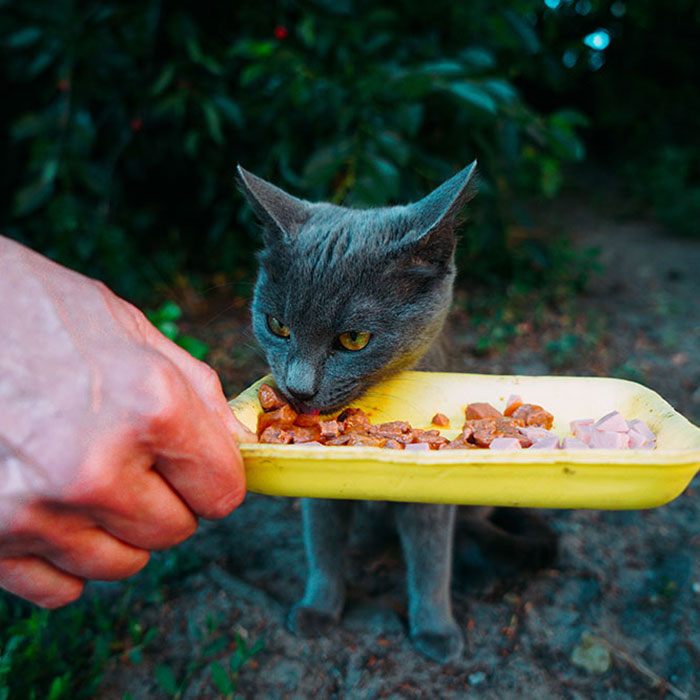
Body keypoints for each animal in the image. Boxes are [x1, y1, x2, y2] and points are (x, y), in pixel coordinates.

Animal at [238, 164, 548, 660]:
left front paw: (436, 631)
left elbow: (430, 557)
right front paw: (318, 610)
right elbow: (322, 543)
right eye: (277, 326)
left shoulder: (431, 497)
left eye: (354, 339)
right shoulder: (318, 488)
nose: (298, 389)